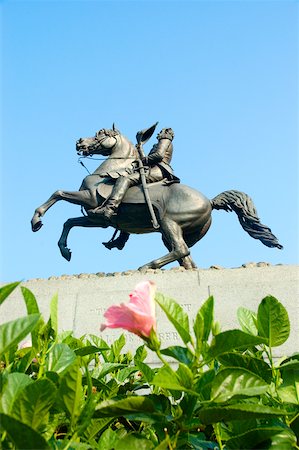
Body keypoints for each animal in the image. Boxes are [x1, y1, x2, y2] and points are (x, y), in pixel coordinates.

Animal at [31, 125, 284, 268]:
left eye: (100, 134)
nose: (80, 142)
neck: (107, 171)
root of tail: (210, 202)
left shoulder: (90, 200)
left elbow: (58, 193)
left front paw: (36, 220)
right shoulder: (98, 220)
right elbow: (69, 222)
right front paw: (65, 251)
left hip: (168, 223)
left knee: (182, 251)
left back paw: (146, 267)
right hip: (176, 232)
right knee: (187, 259)